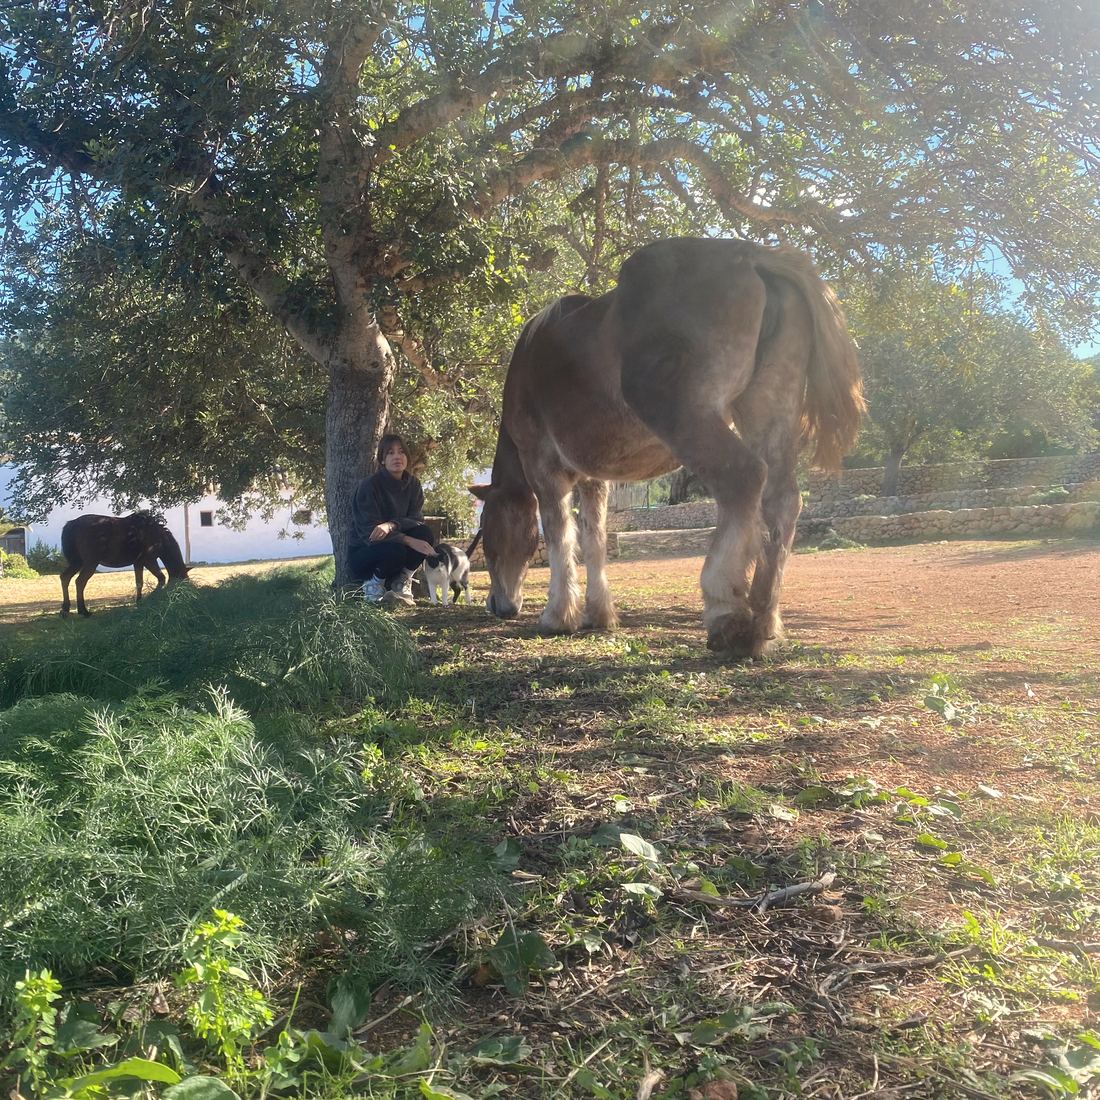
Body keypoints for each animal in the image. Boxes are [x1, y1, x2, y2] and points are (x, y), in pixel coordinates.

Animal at [60, 512, 191, 617]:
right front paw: (151, 598)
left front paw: (140, 601)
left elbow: (139, 582)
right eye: (183, 581)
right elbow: (161, 578)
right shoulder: (149, 560)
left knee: (65, 577)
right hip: (90, 563)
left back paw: (65, 610)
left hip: (77, 562)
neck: (158, 536)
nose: (182, 597)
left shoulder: (138, 563)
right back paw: (83, 611)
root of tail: (72, 524)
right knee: (80, 582)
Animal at [470, 237, 864, 658]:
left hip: (687, 417)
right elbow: (594, 539)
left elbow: (561, 536)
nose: (499, 605)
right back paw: (763, 623)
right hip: (768, 410)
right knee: (782, 500)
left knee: (742, 479)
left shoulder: (545, 470)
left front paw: (558, 615)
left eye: (488, 534)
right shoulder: (594, 480)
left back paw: (725, 612)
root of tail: (751, 256)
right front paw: (598, 613)